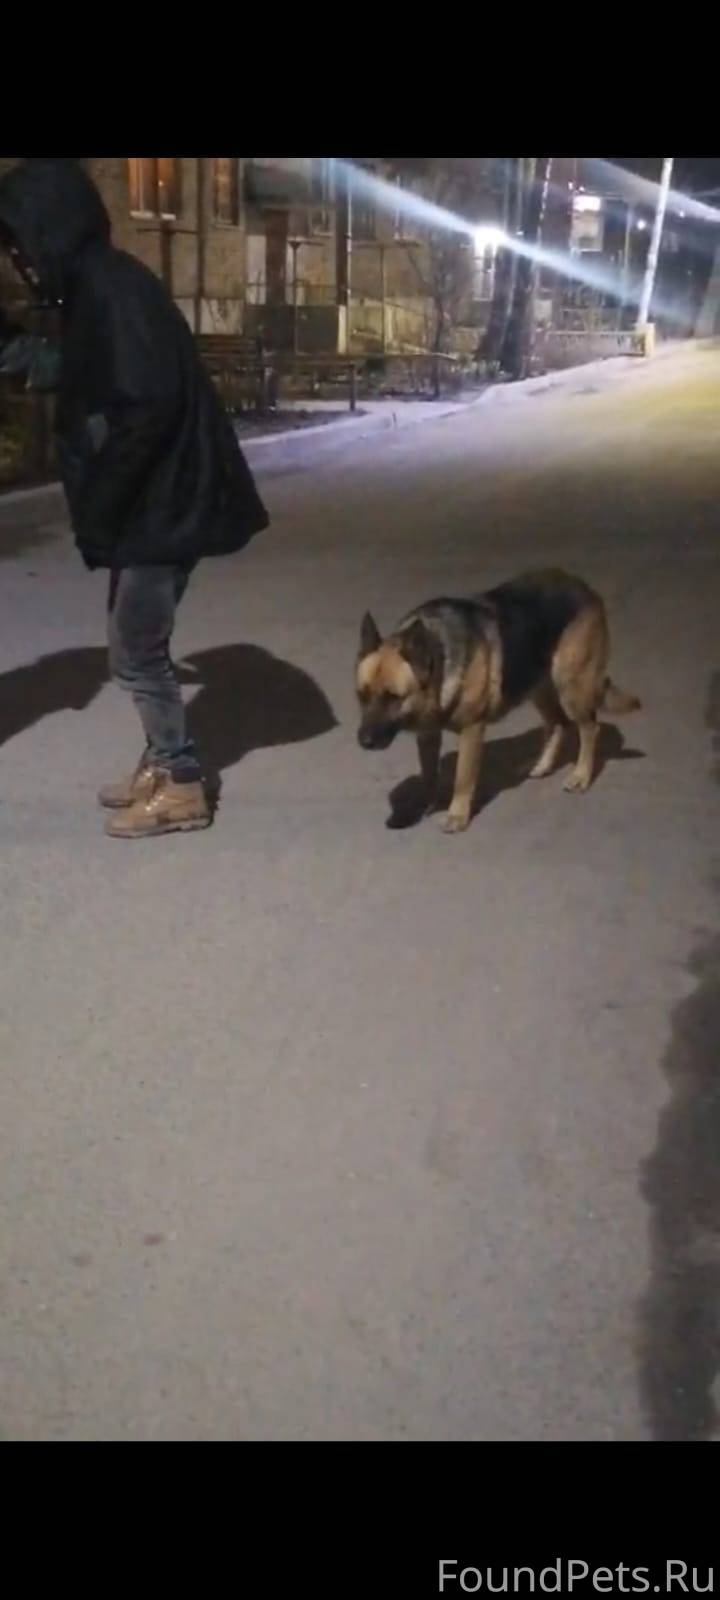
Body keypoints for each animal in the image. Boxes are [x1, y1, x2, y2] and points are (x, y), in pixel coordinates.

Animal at [356, 568, 640, 833]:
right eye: (361, 696)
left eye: (393, 697)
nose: (364, 742)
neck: (438, 656)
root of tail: (584, 587)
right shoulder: (427, 735)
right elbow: (428, 775)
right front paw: (425, 804)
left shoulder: (472, 730)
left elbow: (463, 777)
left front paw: (457, 815)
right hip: (536, 685)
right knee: (557, 722)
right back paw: (541, 764)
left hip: (571, 686)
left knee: (590, 727)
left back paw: (581, 775)